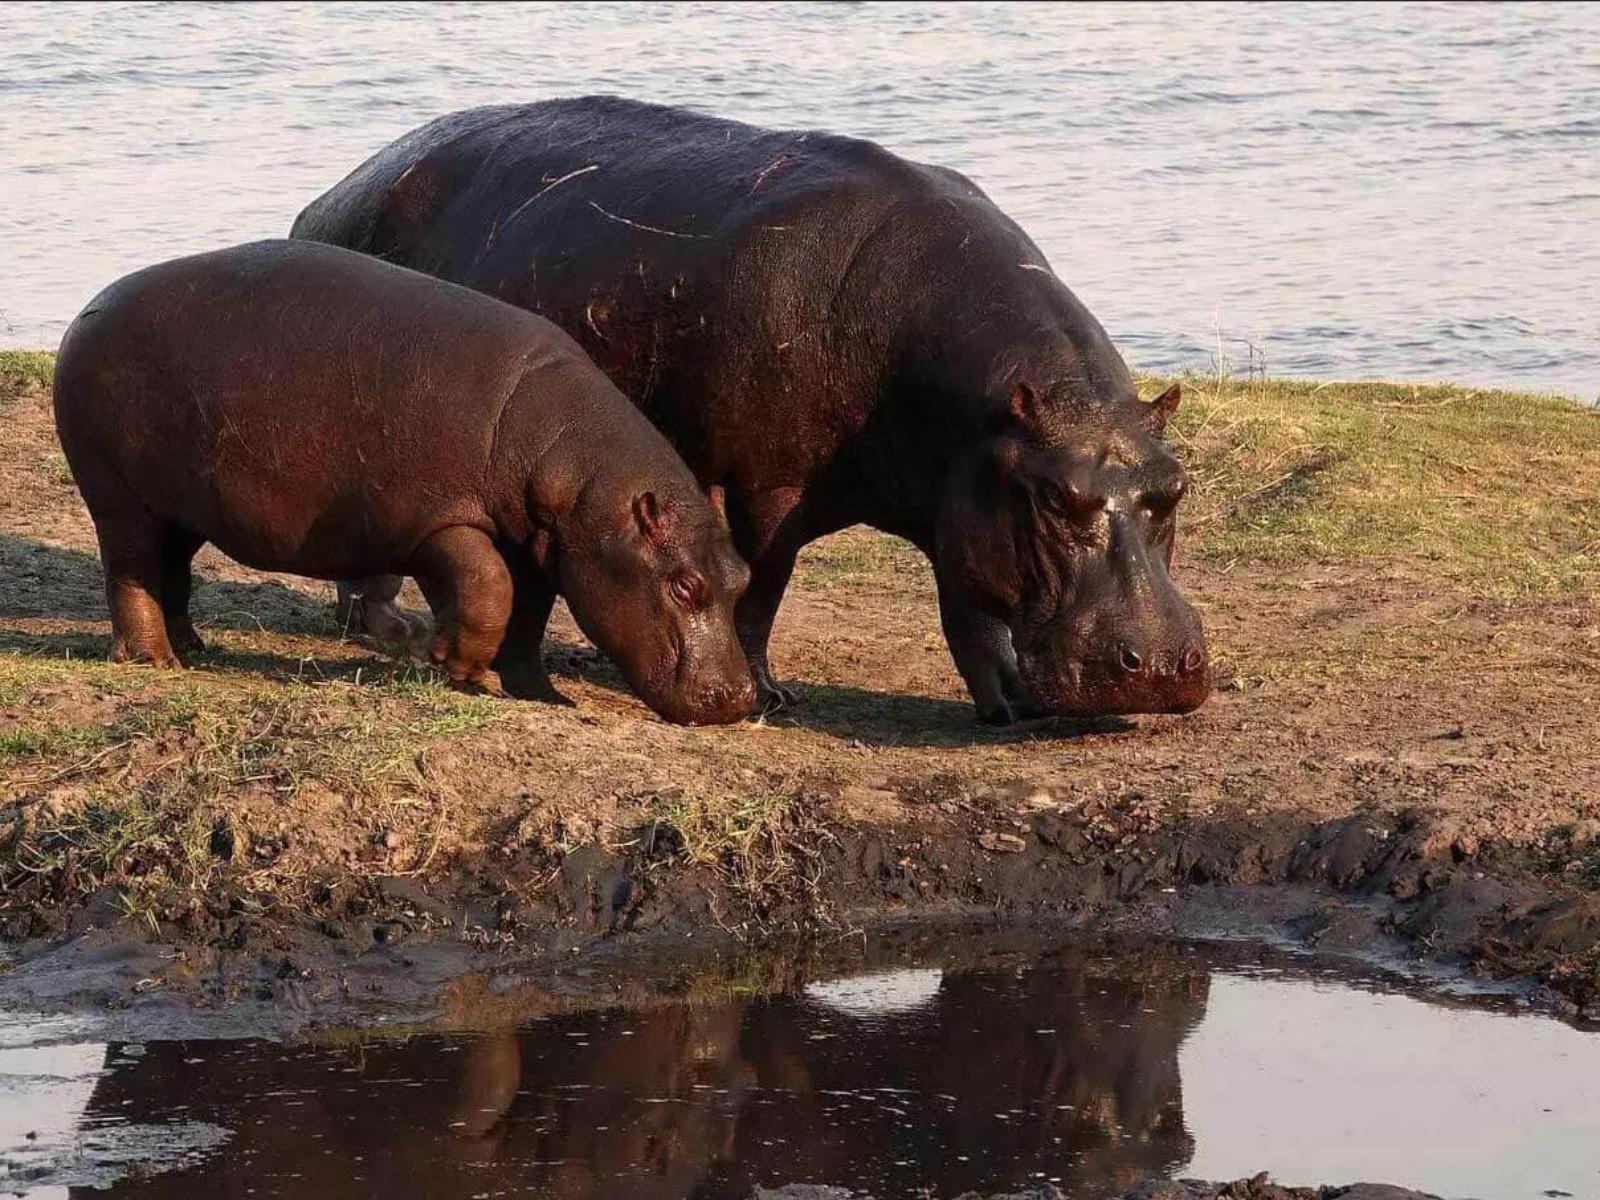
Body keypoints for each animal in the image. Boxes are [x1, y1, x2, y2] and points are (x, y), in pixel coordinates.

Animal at [52, 239, 756, 725]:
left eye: (742, 576)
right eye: (685, 585)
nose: (743, 697)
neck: (572, 474)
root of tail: (87, 310)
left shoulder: (538, 545)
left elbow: (526, 615)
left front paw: (536, 692)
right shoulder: (440, 520)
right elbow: (488, 587)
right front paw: (455, 666)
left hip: (182, 508)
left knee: (170, 572)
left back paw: (195, 648)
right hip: (120, 498)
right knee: (131, 573)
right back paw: (154, 660)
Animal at [293, 97, 1209, 723]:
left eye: (1174, 487)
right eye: (1055, 496)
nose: (1164, 666)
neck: (981, 410)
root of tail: (331, 194)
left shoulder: (963, 499)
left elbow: (969, 605)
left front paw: (1006, 707)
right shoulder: (772, 484)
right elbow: (766, 581)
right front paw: (769, 694)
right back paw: (383, 625)